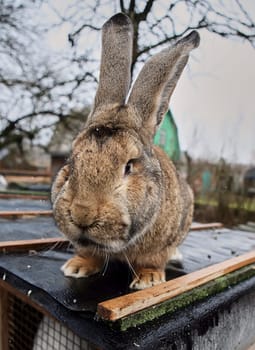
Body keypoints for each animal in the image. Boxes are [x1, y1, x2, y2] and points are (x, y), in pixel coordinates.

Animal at [51, 12, 199, 288]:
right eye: (71, 163)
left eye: (129, 166)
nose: (82, 214)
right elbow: (89, 253)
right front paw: (76, 267)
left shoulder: (161, 245)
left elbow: (152, 261)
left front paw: (148, 280)